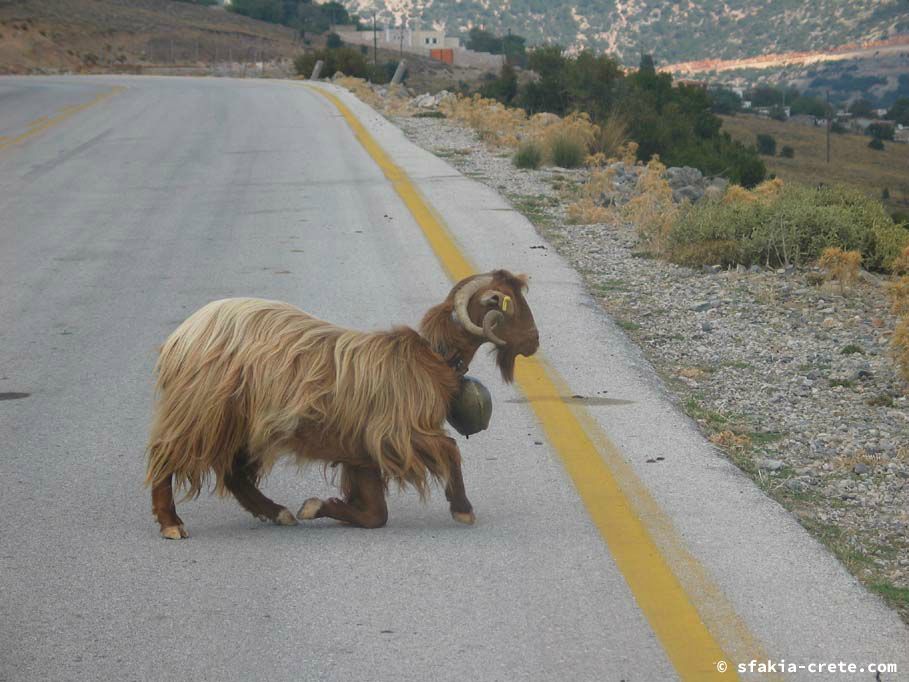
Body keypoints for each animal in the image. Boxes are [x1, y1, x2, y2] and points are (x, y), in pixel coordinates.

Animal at [145, 270, 536, 536]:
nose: (534, 342)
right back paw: (171, 523)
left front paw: (317, 506)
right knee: (166, 454)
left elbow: (376, 515)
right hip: (201, 410)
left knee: (233, 473)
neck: (429, 359)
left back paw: (277, 512)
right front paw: (462, 509)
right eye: (509, 302)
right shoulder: (398, 433)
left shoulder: (361, 453)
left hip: (238, 422)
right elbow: (451, 449)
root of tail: (182, 335)